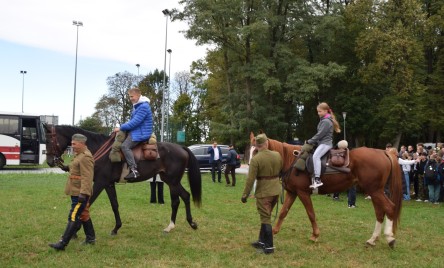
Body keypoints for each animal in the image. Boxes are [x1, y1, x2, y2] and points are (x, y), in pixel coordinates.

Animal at [44, 125, 202, 234]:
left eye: (49, 140)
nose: (50, 161)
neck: (100, 150)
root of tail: (182, 148)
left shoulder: (100, 182)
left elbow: (88, 203)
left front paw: (76, 229)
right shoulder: (108, 184)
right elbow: (114, 204)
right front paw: (116, 228)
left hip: (173, 181)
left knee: (181, 198)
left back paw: (182, 225)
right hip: (170, 181)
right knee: (181, 199)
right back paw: (179, 225)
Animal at [248, 133, 404, 248]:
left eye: (256, 150)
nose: (251, 165)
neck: (291, 160)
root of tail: (383, 152)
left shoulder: (303, 193)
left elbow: (311, 213)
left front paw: (315, 235)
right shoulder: (292, 193)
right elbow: (283, 212)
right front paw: (273, 231)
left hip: (375, 191)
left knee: (390, 208)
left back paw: (390, 238)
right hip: (374, 191)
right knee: (380, 213)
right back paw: (373, 239)